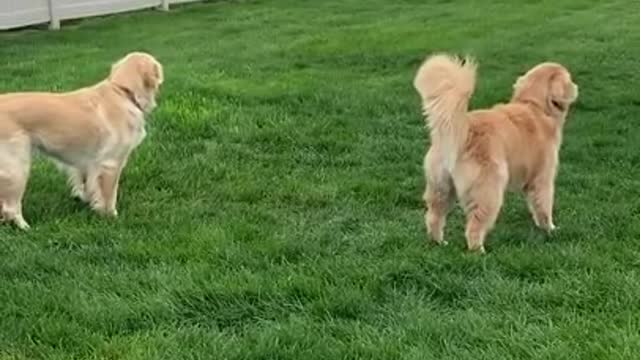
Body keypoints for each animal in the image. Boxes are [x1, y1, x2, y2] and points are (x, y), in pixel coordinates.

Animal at [0, 52, 162, 229]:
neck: (122, 91)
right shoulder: (111, 163)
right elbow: (109, 195)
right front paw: (111, 216)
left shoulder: (86, 163)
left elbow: (87, 185)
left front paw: (88, 202)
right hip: (17, 168)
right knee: (11, 207)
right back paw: (26, 227)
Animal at [416, 53, 580, 253]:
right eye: (569, 78)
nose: (576, 87)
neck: (535, 106)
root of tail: (464, 130)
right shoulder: (542, 179)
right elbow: (543, 207)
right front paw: (549, 229)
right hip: (488, 190)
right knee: (474, 226)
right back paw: (479, 251)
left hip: (441, 188)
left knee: (434, 217)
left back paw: (438, 243)